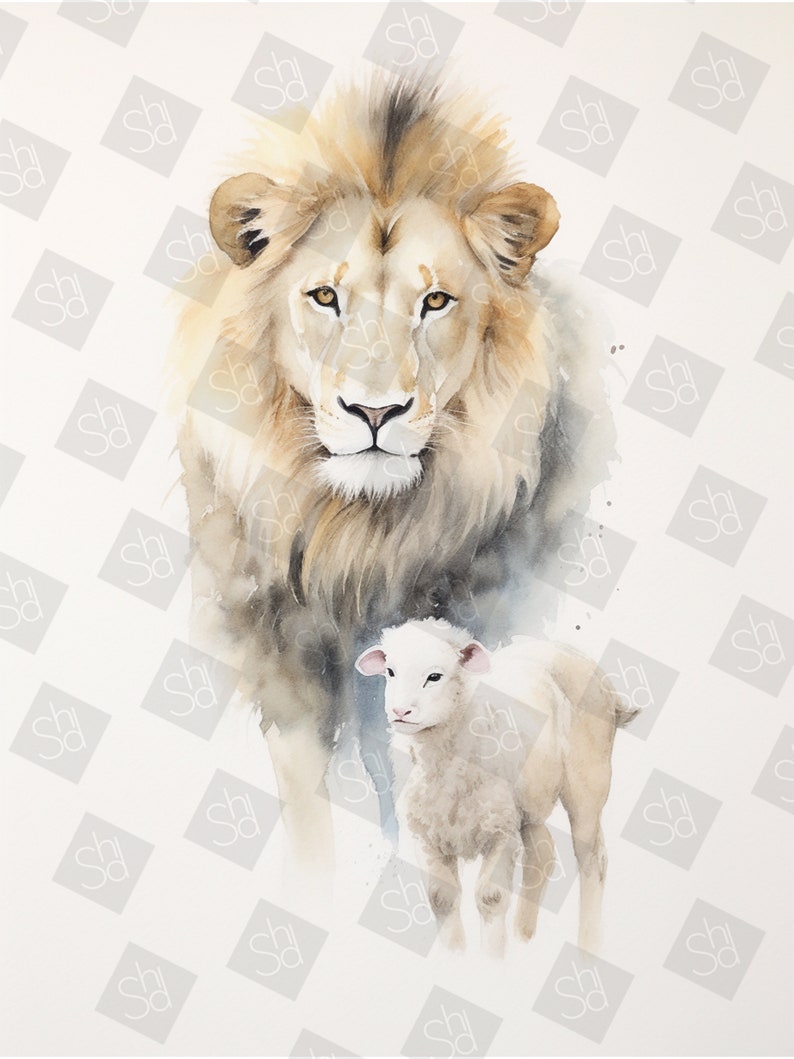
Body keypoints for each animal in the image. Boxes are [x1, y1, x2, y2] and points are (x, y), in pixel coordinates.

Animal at [166, 75, 614, 870]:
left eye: (435, 301)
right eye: (324, 296)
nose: (376, 410)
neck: (361, 542)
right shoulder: (281, 679)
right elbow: (315, 820)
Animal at [356, 618, 637, 957]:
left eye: (435, 676)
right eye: (390, 671)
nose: (400, 712)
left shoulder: (499, 831)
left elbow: (491, 897)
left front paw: (493, 960)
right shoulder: (424, 834)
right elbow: (441, 898)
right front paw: (455, 957)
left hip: (588, 782)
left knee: (592, 860)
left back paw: (588, 945)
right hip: (529, 802)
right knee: (542, 853)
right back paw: (524, 936)